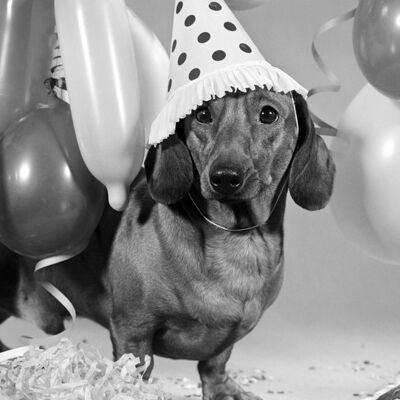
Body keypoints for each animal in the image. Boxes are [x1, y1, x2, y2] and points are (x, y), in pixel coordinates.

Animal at [0, 88, 334, 400]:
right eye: (202, 114)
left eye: (268, 114)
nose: (225, 177)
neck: (236, 239)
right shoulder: (132, 328)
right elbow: (136, 369)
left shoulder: (226, 338)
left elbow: (215, 363)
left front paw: (221, 389)